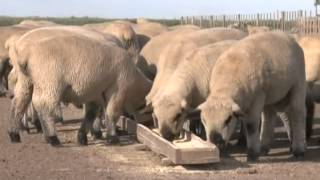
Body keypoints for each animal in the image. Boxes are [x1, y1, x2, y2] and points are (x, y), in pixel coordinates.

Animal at [6, 25, 152, 146]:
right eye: (147, 110)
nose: (146, 125)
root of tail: (25, 54)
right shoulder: (117, 90)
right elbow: (112, 114)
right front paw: (112, 138)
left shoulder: (96, 94)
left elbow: (91, 114)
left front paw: (83, 137)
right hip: (49, 81)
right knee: (43, 105)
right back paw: (52, 137)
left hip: (26, 80)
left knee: (19, 102)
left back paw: (14, 134)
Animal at [185, 31, 308, 162]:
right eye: (203, 120)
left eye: (228, 119)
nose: (216, 143)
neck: (226, 85)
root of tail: (288, 36)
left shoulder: (257, 98)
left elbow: (251, 126)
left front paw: (252, 154)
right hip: (274, 95)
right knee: (271, 117)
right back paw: (265, 148)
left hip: (298, 83)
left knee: (298, 113)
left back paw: (298, 150)